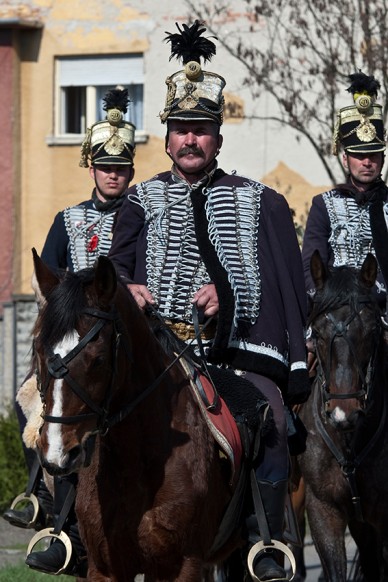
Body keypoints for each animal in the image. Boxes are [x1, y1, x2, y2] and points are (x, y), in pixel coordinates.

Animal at [28, 251, 276, 582]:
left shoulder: (182, 566)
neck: (137, 461)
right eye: (39, 351)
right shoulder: (104, 567)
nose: (57, 453)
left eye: (98, 360)